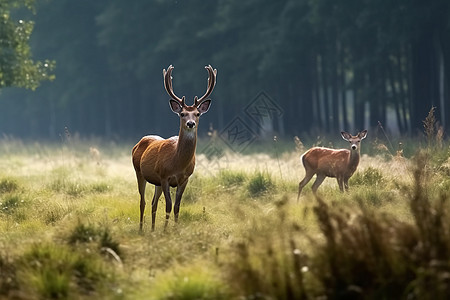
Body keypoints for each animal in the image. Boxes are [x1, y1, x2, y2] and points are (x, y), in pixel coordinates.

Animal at [131, 64, 217, 231]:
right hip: (139, 172)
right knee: (143, 201)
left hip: (156, 181)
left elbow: (177, 206)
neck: (178, 163)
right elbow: (169, 206)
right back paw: (141, 229)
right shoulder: (165, 176)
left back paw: (152, 229)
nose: (191, 123)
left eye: (197, 113)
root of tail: (139, 143)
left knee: (153, 203)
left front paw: (176, 230)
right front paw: (165, 231)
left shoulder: (185, 178)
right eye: (182, 113)